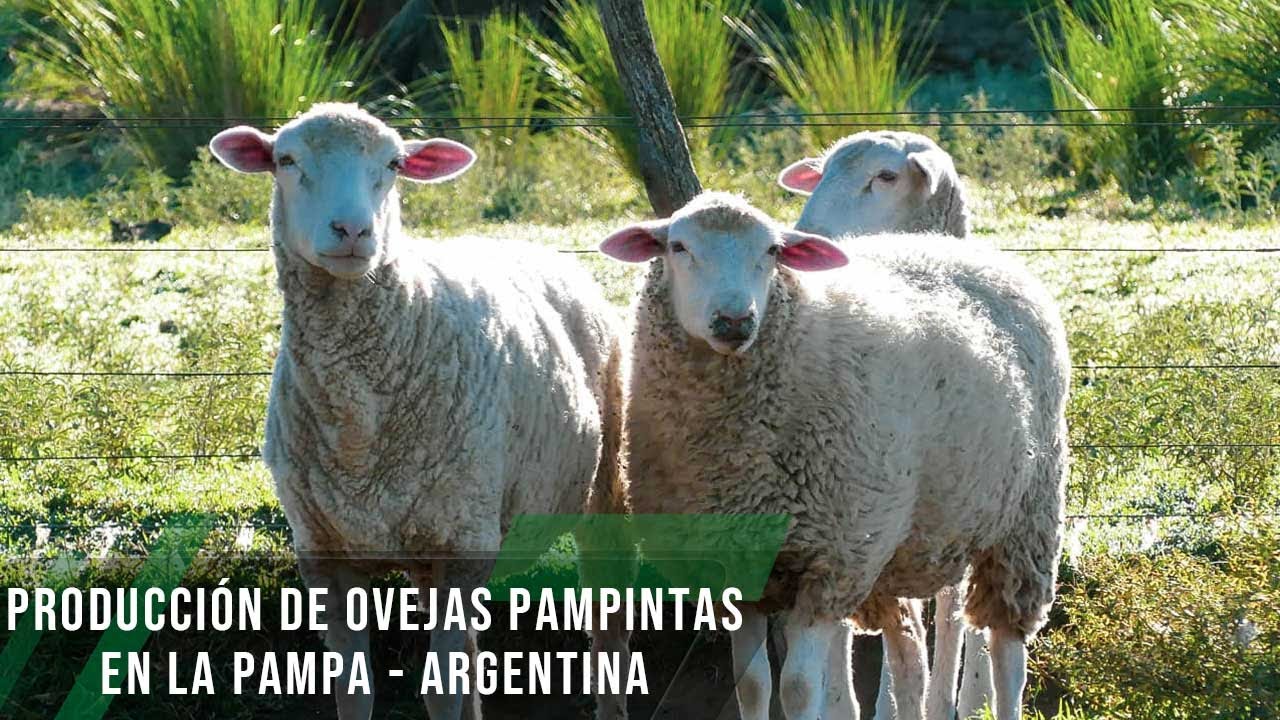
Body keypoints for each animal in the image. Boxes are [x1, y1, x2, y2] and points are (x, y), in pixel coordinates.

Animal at [208, 103, 628, 720]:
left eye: (394, 165)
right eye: (286, 159)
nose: (353, 231)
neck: (359, 424)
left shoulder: (463, 541)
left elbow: (440, 689)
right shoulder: (325, 551)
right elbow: (354, 686)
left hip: (602, 490)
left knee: (609, 622)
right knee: (474, 654)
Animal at [599, 192, 1069, 720]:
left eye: (772, 251)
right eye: (678, 246)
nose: (735, 321)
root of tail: (963, 250)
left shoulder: (828, 566)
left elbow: (800, 688)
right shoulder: (738, 571)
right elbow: (752, 685)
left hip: (1024, 519)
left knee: (1008, 651)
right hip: (896, 542)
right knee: (909, 651)